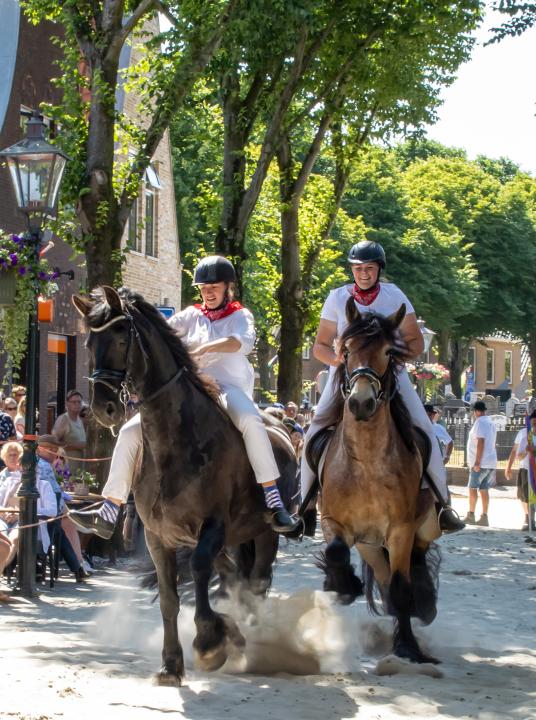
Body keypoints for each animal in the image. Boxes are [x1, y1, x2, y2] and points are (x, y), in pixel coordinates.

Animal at [72, 284, 298, 684]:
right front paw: (171, 663)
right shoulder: (157, 536)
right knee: (234, 578)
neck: (174, 441)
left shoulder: (212, 527)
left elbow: (199, 571)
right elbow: (169, 598)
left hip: (263, 533)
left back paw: (251, 639)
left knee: (255, 582)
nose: (104, 409)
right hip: (233, 539)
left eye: (120, 337)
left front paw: (210, 642)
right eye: (88, 343)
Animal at [318, 296, 440, 664]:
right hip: (370, 544)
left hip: (421, 525)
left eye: (388, 351)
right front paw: (344, 586)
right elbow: (335, 553)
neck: (367, 462)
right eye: (345, 350)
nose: (361, 402)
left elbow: (401, 586)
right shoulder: (333, 521)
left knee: (414, 560)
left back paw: (423, 604)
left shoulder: (400, 528)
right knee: (384, 578)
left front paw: (408, 647)